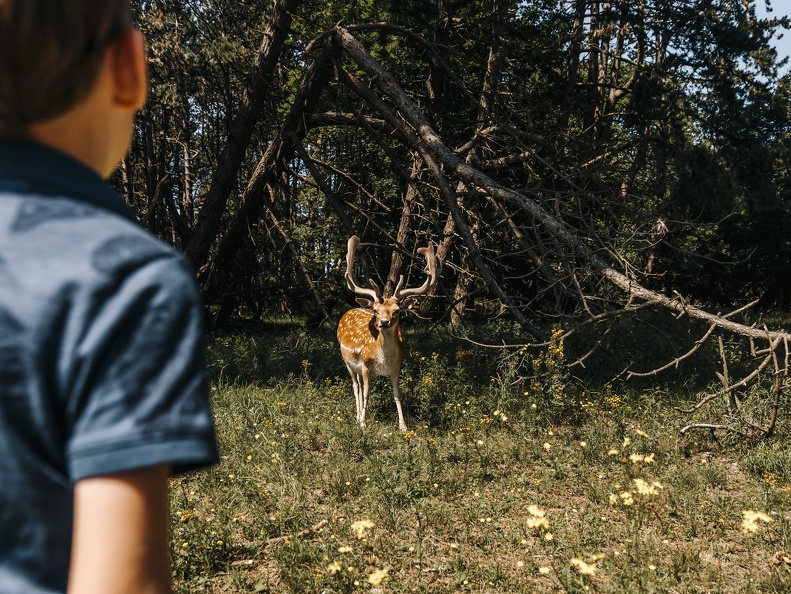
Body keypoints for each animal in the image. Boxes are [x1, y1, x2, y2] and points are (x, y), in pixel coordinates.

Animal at [338, 235, 442, 430]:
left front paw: (403, 426)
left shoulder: (396, 367)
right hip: (347, 361)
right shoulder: (365, 365)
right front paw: (363, 423)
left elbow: (397, 394)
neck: (383, 358)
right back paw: (357, 416)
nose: (384, 322)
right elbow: (367, 393)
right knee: (356, 386)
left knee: (359, 386)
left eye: (397, 310)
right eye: (376, 310)